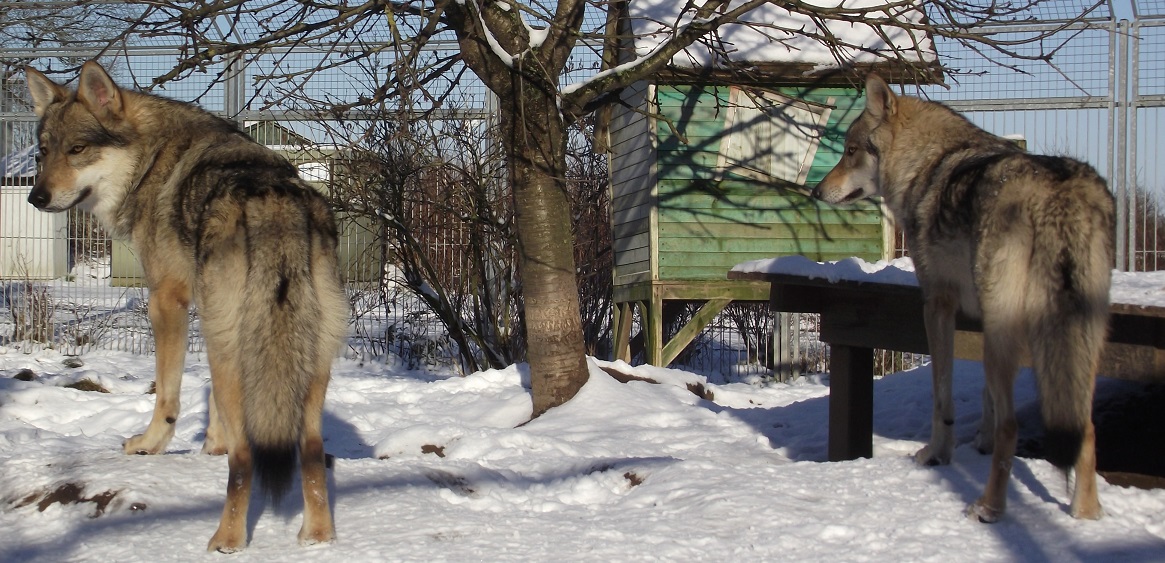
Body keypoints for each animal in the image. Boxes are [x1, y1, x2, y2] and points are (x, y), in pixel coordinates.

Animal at [25, 60, 347, 550]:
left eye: (78, 149)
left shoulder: (166, 299)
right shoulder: (205, 312)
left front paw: (150, 444)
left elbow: (167, 392)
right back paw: (316, 538)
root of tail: (275, 207)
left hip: (237, 345)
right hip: (303, 358)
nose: (35, 198)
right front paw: (212, 442)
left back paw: (227, 540)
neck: (150, 159)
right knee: (310, 452)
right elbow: (209, 396)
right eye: (43, 152)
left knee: (245, 460)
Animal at [815, 75, 1113, 524]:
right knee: (1087, 425)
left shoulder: (937, 305)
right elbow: (986, 402)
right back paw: (1086, 512)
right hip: (1080, 337)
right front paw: (980, 444)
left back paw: (989, 507)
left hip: (1010, 334)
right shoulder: (977, 316)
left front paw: (938, 455)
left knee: (1013, 425)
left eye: (851, 151)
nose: (817, 190)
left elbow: (943, 395)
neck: (926, 164)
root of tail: (1058, 191)